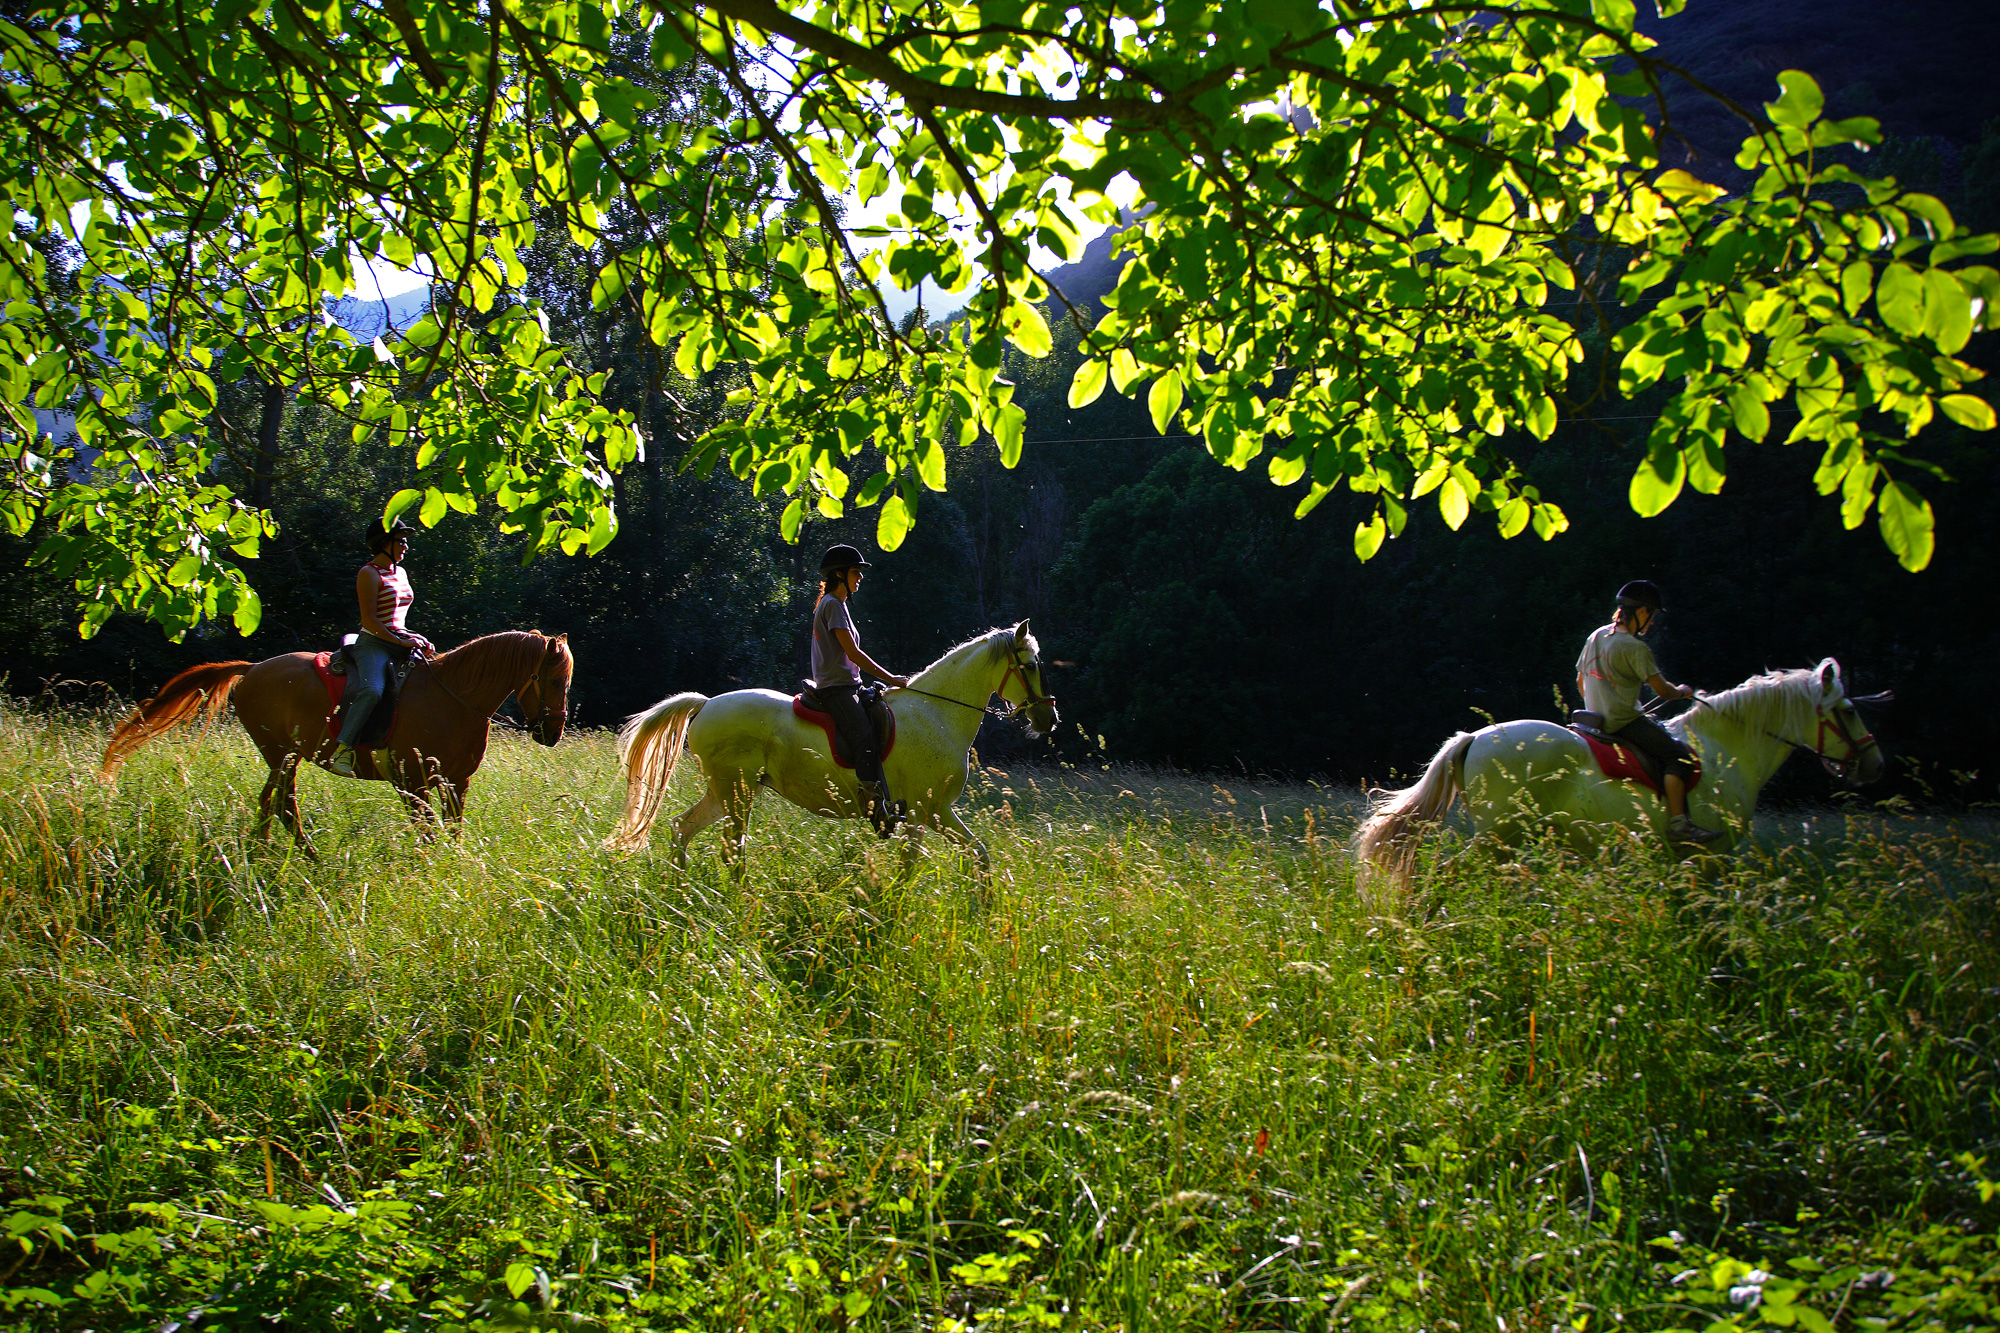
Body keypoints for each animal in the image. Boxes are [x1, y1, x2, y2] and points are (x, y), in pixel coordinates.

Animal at [101, 624, 576, 852]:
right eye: (555, 680)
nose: (552, 733)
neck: (454, 696)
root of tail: (252, 669)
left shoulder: (456, 782)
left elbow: (452, 830)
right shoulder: (411, 782)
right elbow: (426, 832)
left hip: (283, 756)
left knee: (272, 802)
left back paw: (267, 851)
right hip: (282, 754)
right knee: (282, 803)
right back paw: (299, 855)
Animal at [596, 620, 1056, 868]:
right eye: (1032, 665)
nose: (1049, 719)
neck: (938, 713)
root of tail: (706, 704)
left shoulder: (936, 812)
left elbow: (980, 856)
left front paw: (984, 910)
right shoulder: (926, 811)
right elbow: (914, 866)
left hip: (725, 792)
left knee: (681, 829)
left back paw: (683, 890)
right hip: (737, 792)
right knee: (730, 848)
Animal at [1352, 656, 1880, 888]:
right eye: (1850, 711)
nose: (1874, 764)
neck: (1724, 750)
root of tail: (1475, 738)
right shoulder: (1711, 858)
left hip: (1504, 842)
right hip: (1499, 838)